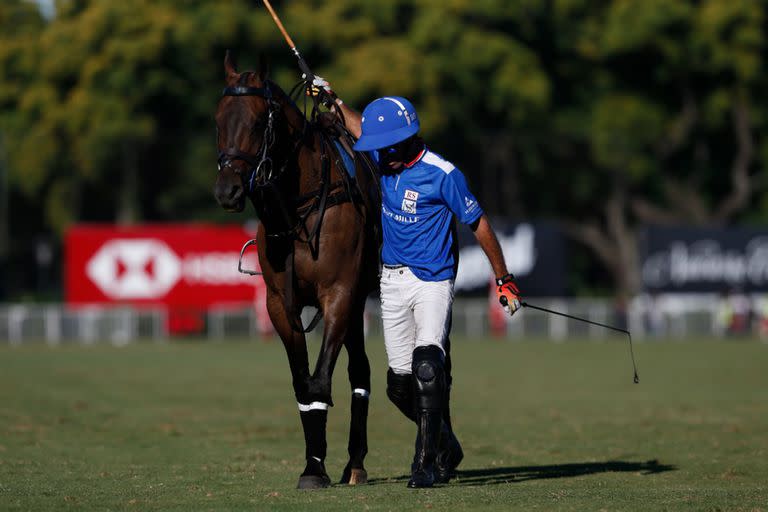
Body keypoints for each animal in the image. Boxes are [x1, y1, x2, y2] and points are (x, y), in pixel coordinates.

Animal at [212, 52, 380, 488]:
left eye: (258, 122)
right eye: (218, 120)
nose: (227, 191)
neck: (297, 207)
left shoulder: (338, 294)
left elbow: (319, 380)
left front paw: (316, 468)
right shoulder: (279, 304)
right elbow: (302, 384)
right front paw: (313, 463)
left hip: (362, 295)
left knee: (363, 371)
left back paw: (359, 463)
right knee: (359, 371)